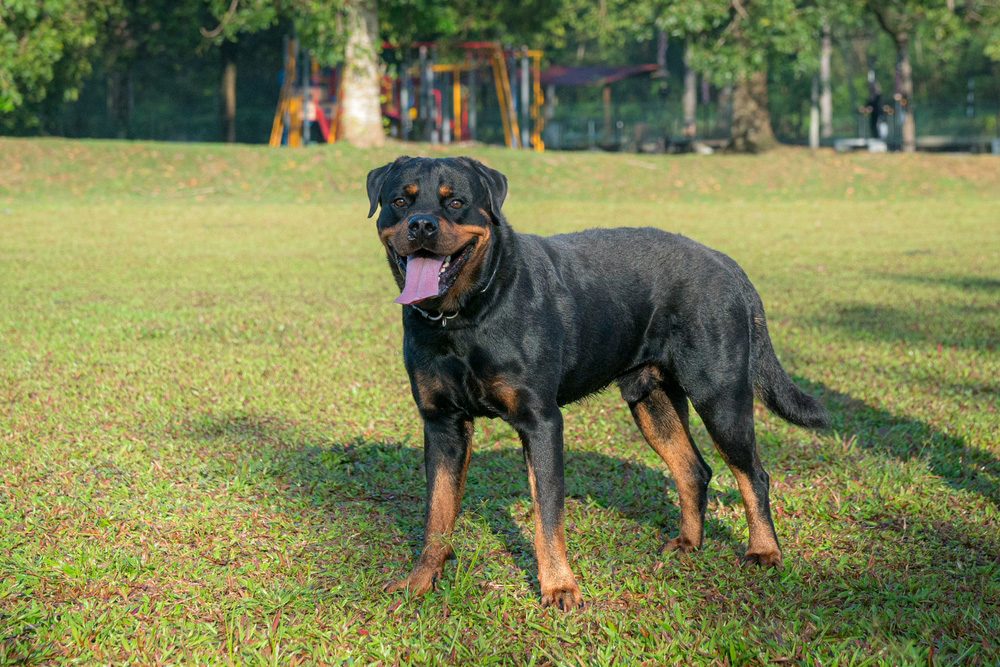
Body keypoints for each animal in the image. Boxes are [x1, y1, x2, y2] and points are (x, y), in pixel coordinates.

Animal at [368, 155, 828, 612]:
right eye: (400, 201)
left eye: (456, 202)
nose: (422, 225)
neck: (462, 318)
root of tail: (722, 259)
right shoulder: (442, 424)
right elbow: (437, 512)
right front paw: (420, 580)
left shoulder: (541, 421)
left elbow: (547, 514)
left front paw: (559, 588)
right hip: (652, 400)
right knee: (693, 470)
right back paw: (687, 544)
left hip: (721, 396)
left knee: (754, 474)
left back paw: (764, 551)